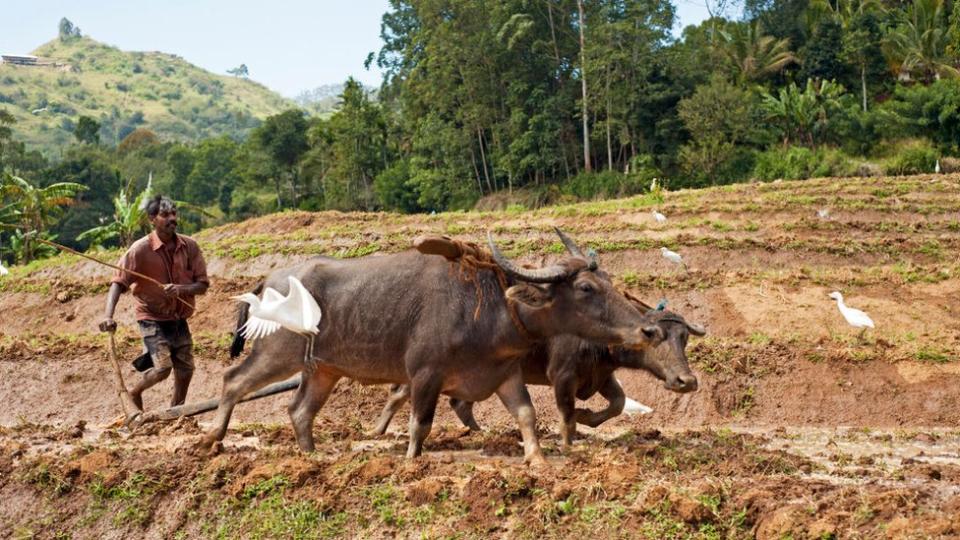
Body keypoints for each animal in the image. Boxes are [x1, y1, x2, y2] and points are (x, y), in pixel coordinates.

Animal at [199, 230, 664, 466]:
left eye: (606, 280)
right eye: (585, 288)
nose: (649, 330)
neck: (488, 303)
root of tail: (268, 281)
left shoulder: (505, 375)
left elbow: (527, 415)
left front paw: (537, 459)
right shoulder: (424, 375)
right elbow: (419, 424)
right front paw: (411, 460)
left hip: (322, 369)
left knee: (299, 410)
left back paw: (312, 455)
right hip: (275, 353)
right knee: (233, 380)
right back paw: (215, 440)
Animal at [372, 306, 700, 446]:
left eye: (684, 337)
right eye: (658, 336)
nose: (687, 382)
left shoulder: (600, 375)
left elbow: (618, 402)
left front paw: (587, 416)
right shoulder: (563, 375)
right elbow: (567, 412)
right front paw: (573, 431)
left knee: (458, 403)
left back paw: (480, 432)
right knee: (401, 392)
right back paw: (376, 430)